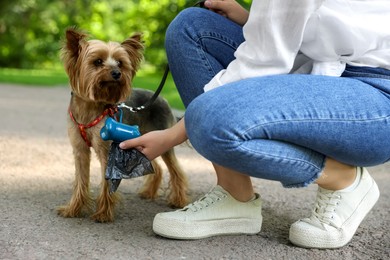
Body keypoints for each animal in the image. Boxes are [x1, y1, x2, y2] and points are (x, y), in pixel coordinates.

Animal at [57, 28, 189, 222]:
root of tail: (163, 99)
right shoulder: (80, 150)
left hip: (162, 139)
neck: (89, 108)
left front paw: (103, 214)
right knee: (157, 168)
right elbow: (80, 180)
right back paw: (148, 193)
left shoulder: (106, 150)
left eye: (120, 63)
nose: (117, 73)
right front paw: (73, 209)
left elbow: (107, 181)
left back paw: (178, 200)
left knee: (176, 171)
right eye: (97, 62)